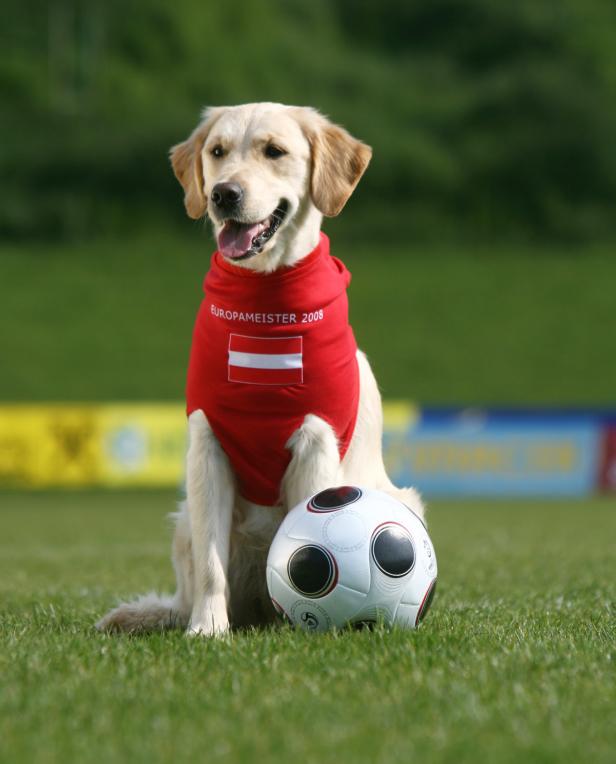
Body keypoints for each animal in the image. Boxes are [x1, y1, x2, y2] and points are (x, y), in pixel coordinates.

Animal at [97, 103, 424, 640]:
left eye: (275, 151)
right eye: (217, 151)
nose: (223, 194)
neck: (264, 302)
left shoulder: (315, 443)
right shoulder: (207, 446)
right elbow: (212, 566)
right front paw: (207, 628)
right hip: (185, 521)